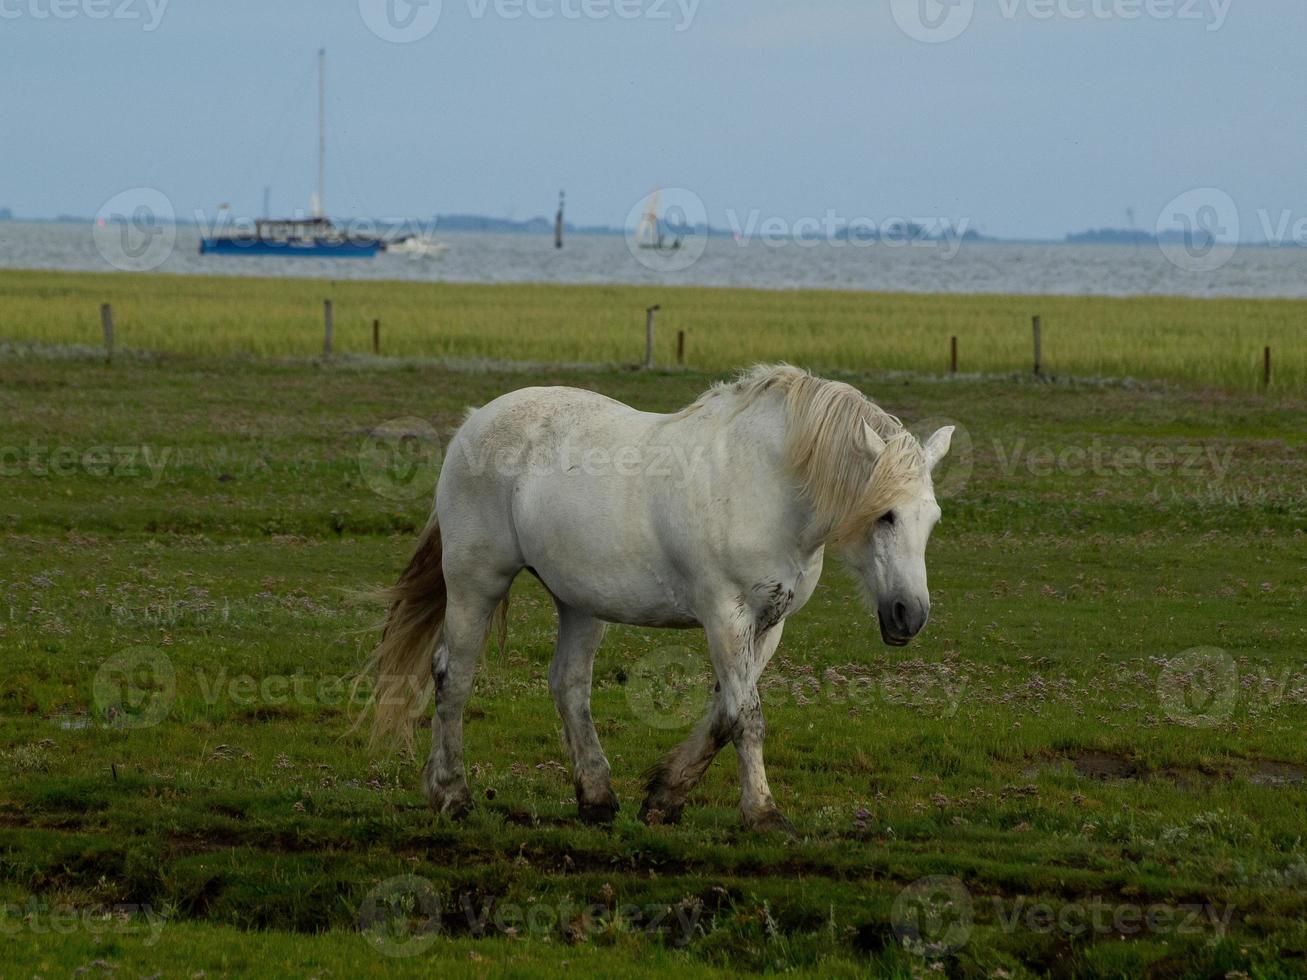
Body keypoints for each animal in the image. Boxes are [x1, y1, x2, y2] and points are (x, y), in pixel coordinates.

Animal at [363, 365, 956, 831]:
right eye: (885, 515)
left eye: (931, 520)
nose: (910, 615)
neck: (766, 484)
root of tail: (474, 421)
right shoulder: (725, 615)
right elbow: (746, 716)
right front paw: (763, 814)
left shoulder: (769, 623)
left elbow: (722, 715)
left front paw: (664, 798)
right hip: (476, 581)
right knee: (454, 676)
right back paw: (452, 795)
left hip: (579, 601)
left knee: (569, 685)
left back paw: (597, 799)